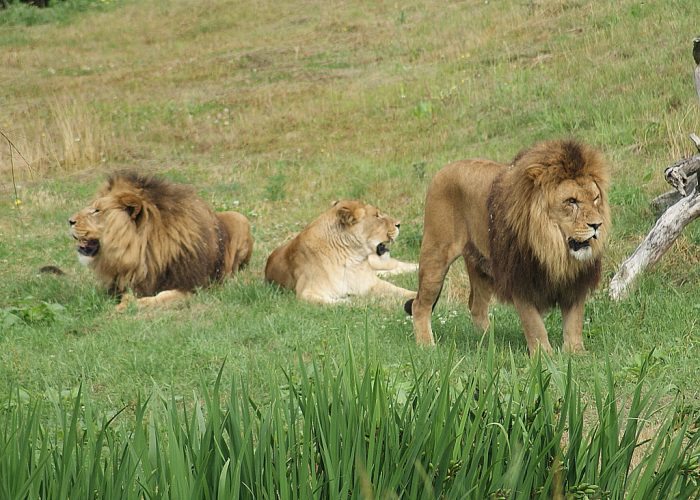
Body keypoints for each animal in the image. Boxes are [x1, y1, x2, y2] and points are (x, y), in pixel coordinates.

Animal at [69, 171, 254, 310]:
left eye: (97, 210)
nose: (69, 221)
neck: (144, 252)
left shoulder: (192, 287)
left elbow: (161, 296)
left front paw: (126, 306)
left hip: (240, 220)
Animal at [264, 200, 418, 304]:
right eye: (377, 216)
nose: (399, 224)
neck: (351, 259)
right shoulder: (306, 293)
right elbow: (339, 302)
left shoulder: (371, 283)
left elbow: (400, 290)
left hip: (378, 262)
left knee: (399, 264)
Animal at [405, 139, 610, 354]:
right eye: (571, 201)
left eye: (595, 198)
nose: (597, 225)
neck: (554, 248)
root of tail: (443, 169)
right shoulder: (520, 279)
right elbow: (534, 325)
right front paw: (544, 355)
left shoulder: (576, 280)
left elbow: (574, 322)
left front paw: (576, 353)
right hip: (436, 254)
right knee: (419, 305)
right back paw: (427, 346)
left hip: (482, 267)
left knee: (476, 307)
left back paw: (490, 342)